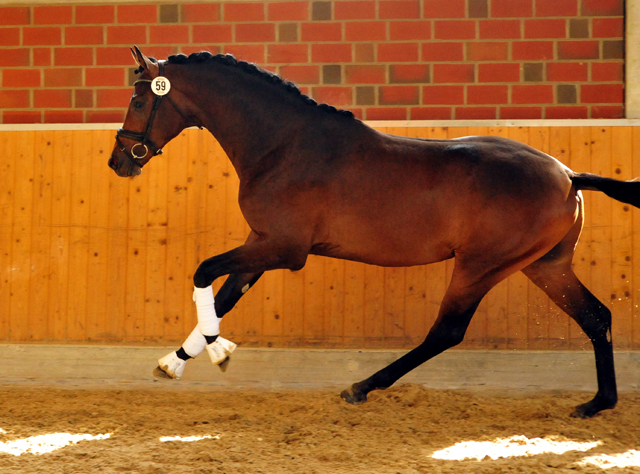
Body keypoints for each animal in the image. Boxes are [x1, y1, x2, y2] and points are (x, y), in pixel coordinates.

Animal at [111, 47, 640, 418]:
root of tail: (568, 174)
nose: (120, 161)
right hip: (544, 265)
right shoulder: (262, 244)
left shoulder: (282, 248)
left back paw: (362, 387)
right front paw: (177, 361)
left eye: (138, 98)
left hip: (482, 266)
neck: (283, 144)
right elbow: (223, 298)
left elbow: (204, 274)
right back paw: (597, 403)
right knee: (595, 317)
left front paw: (214, 352)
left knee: (447, 331)